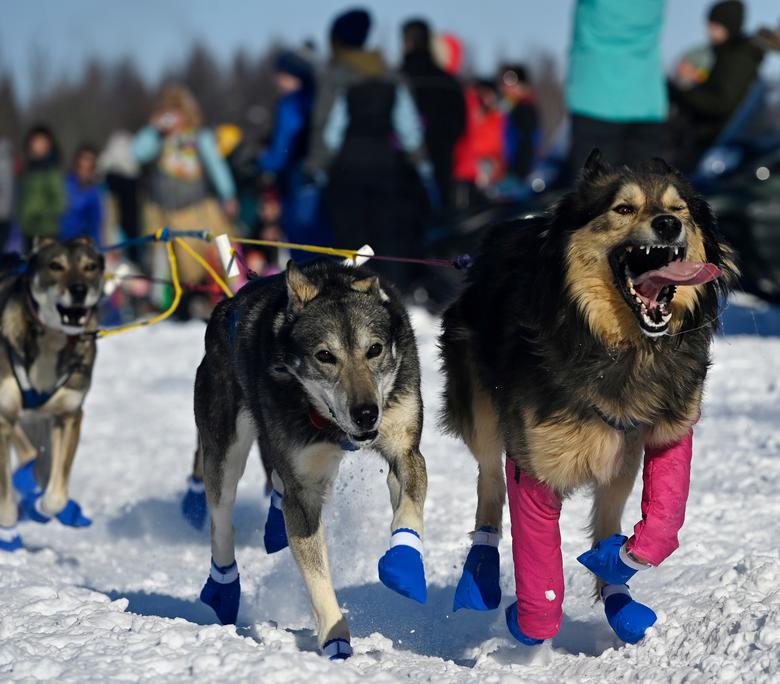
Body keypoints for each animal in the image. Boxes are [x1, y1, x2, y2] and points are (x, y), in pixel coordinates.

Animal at [0, 236, 105, 552]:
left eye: (90, 267)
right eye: (55, 265)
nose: (79, 290)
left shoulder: (68, 415)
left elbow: (56, 497)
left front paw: (43, 508)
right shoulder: (5, 415)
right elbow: (6, 501)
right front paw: (9, 527)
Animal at [193, 260, 426, 660]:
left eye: (375, 349)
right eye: (325, 356)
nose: (366, 413)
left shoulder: (404, 450)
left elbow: (409, 508)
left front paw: (405, 566)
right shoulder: (303, 490)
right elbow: (317, 575)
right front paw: (335, 639)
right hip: (225, 451)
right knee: (222, 520)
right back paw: (222, 589)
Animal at [438, 151, 736, 648]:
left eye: (680, 209)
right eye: (623, 208)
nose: (668, 224)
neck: (622, 349)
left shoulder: (669, 432)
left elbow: (662, 524)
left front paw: (617, 562)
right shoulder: (536, 463)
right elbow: (540, 570)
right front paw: (530, 627)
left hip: (619, 457)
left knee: (608, 515)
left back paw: (619, 597)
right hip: (481, 410)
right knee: (489, 481)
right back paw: (479, 572)